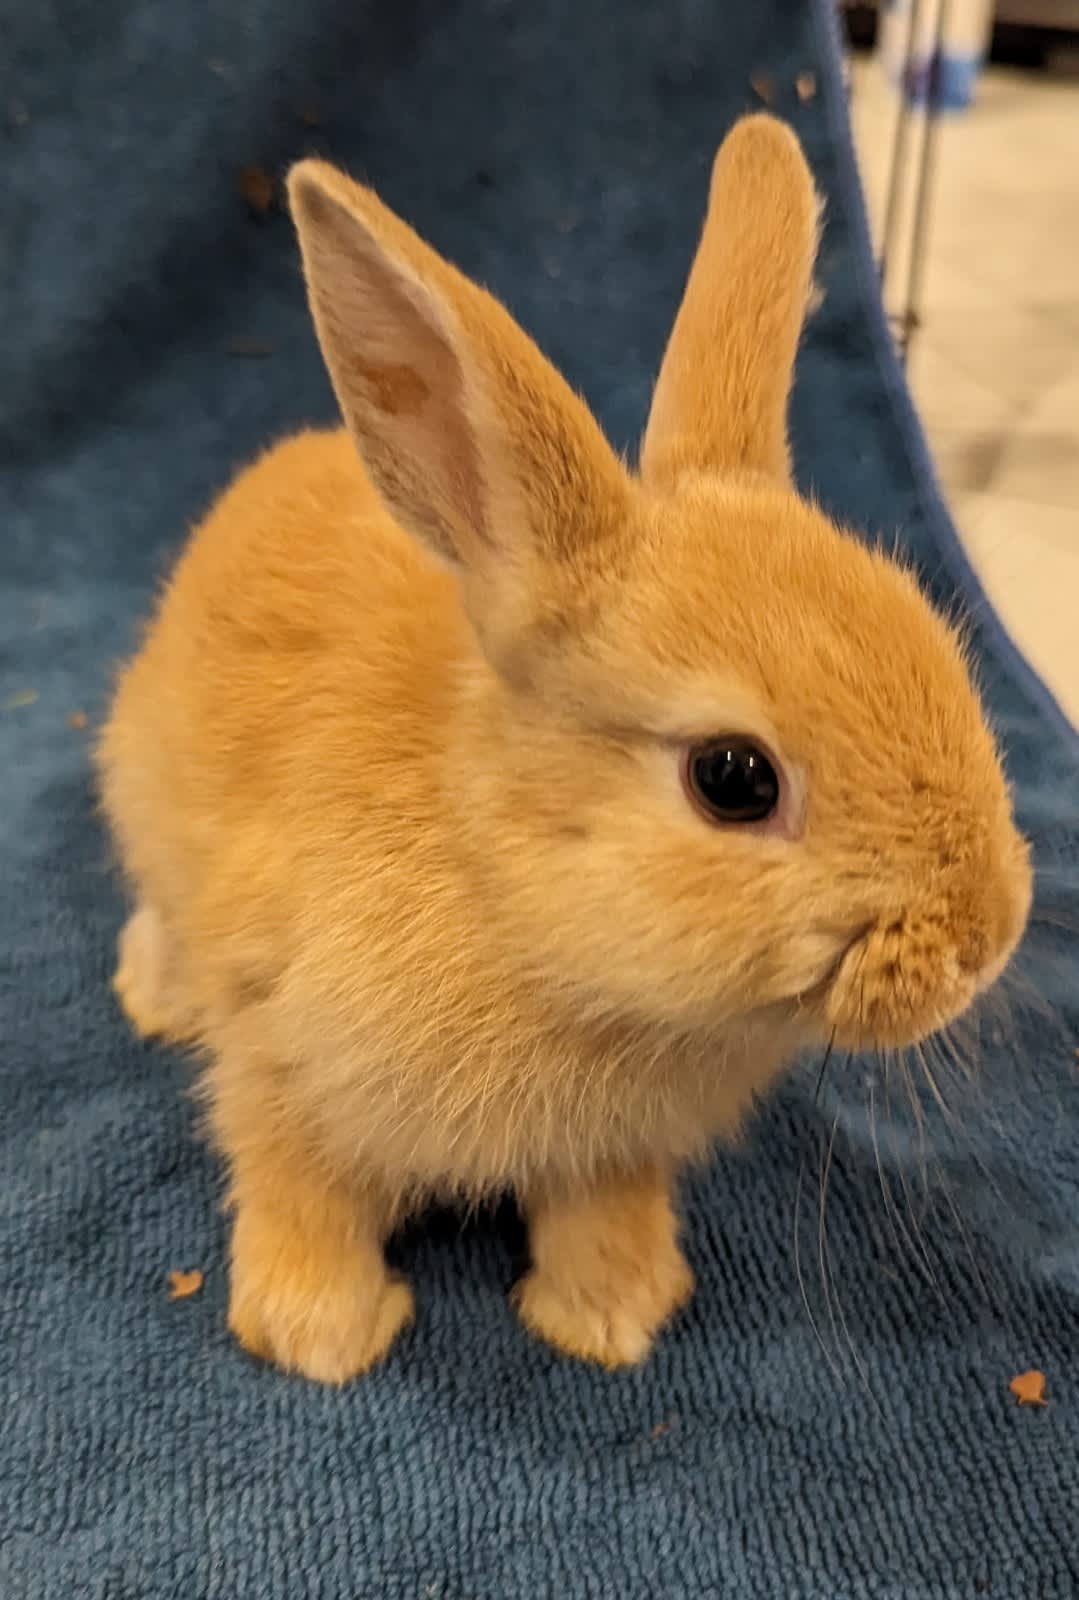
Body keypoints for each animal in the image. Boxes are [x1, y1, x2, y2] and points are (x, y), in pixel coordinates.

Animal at [96, 116, 1030, 1388]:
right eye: (732, 779)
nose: (986, 938)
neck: (508, 899)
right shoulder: (282, 1061)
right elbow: (300, 1187)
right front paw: (321, 1333)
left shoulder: (609, 1150)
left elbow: (598, 1210)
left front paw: (611, 1312)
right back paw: (156, 999)